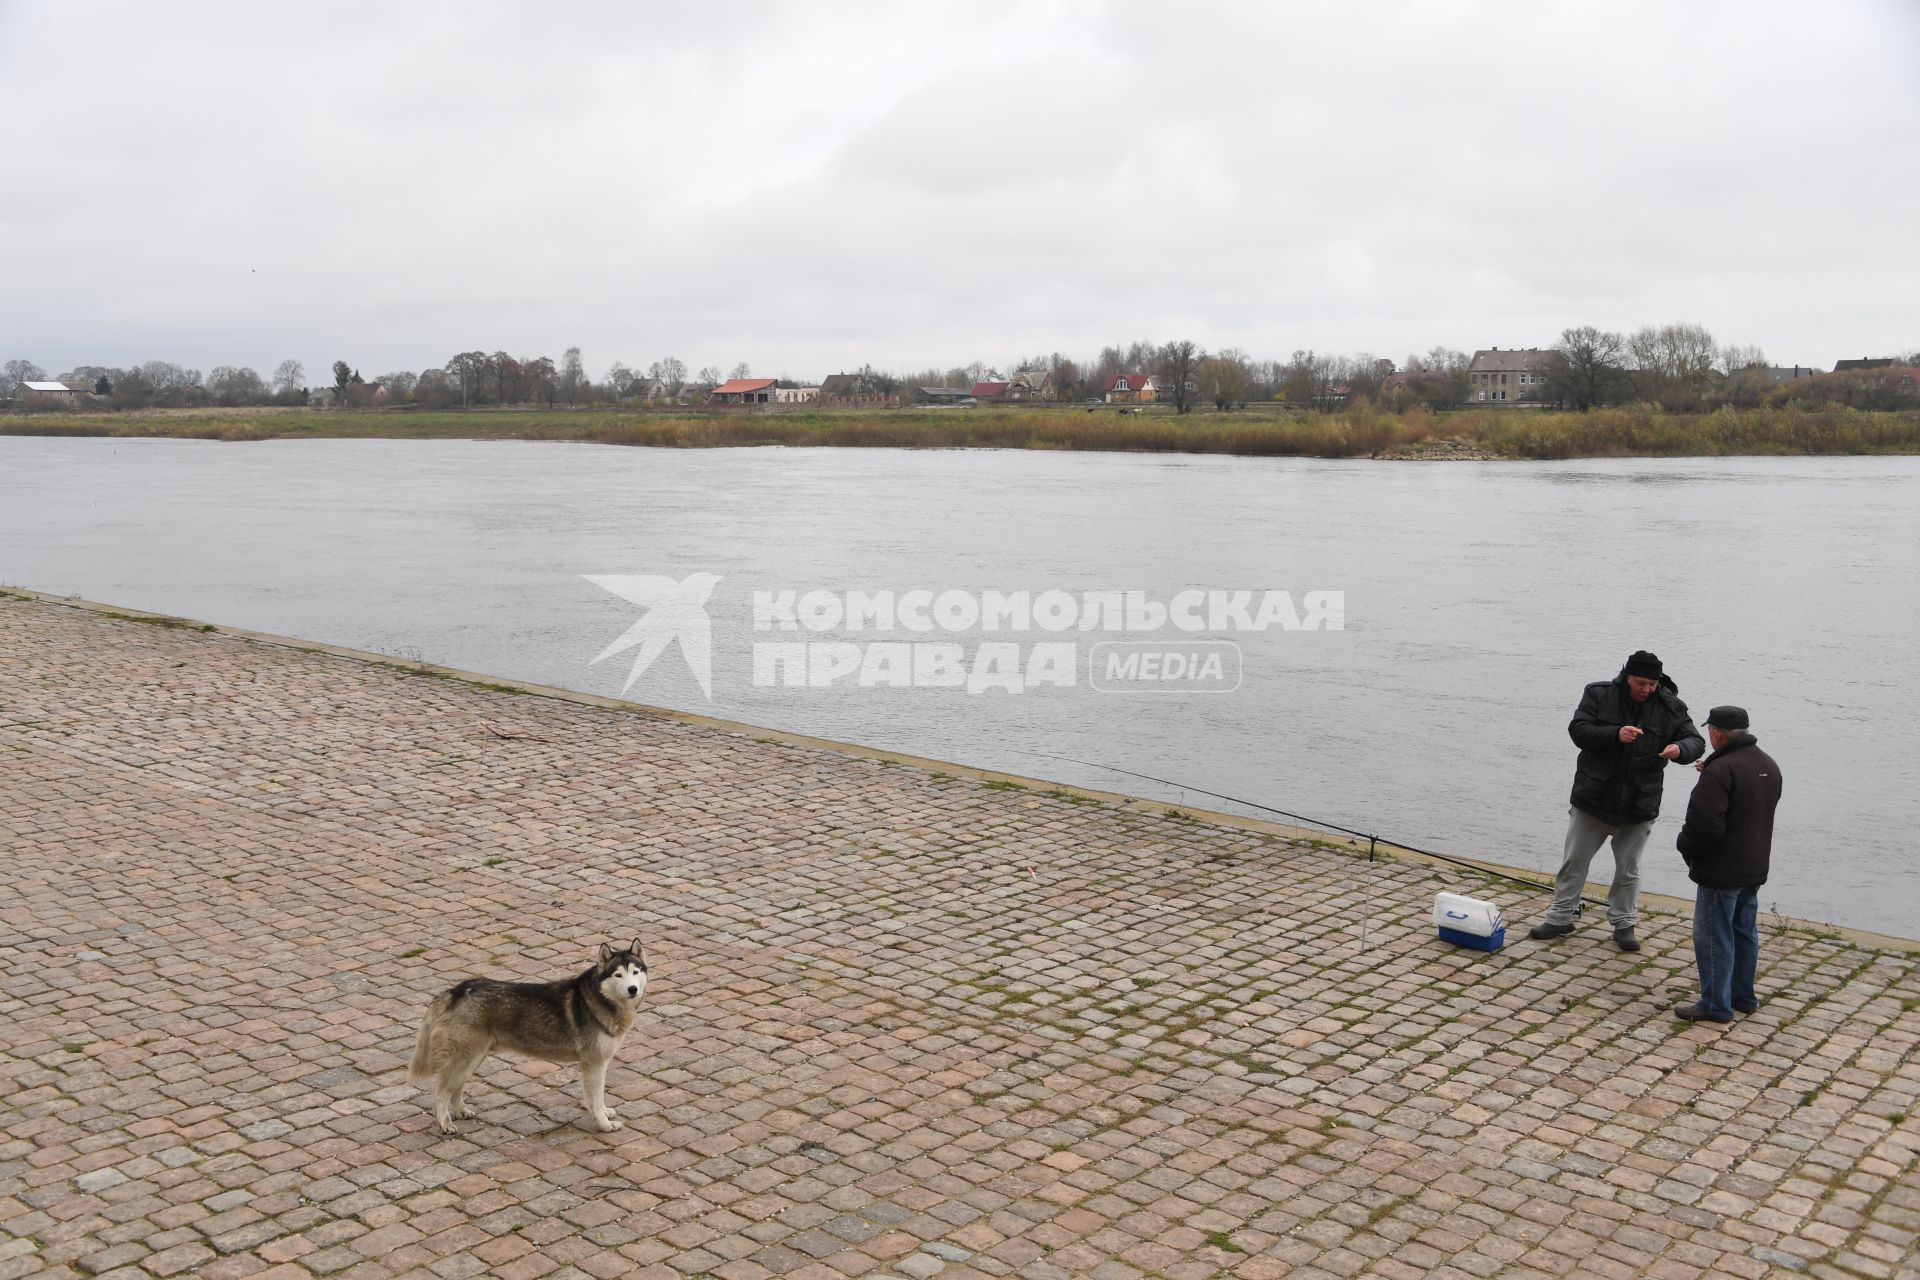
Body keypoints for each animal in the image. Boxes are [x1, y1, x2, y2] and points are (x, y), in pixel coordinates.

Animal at [408, 940, 648, 1128]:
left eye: (635, 973)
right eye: (618, 975)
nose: (632, 989)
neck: (599, 999)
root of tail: (455, 991)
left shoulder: (598, 1063)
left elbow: (597, 1098)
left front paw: (604, 1113)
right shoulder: (594, 1063)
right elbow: (595, 1099)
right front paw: (604, 1124)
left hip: (473, 1060)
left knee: (455, 1090)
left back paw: (460, 1112)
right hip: (465, 1059)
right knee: (441, 1092)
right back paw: (445, 1124)